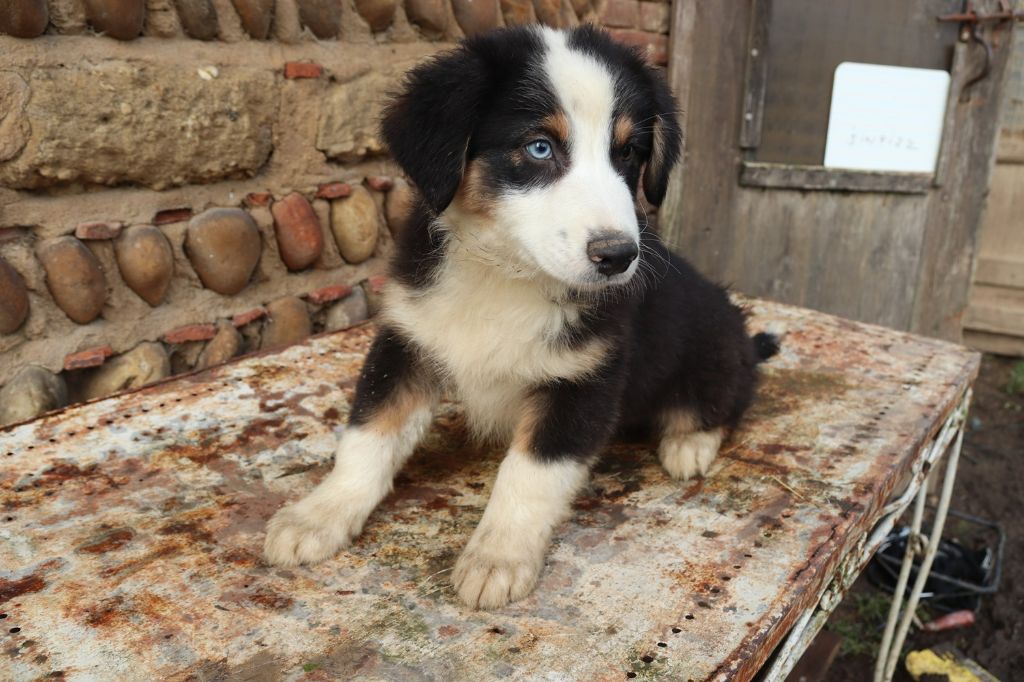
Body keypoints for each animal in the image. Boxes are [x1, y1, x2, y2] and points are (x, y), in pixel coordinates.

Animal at [264, 25, 774, 606]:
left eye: (628, 153)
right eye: (539, 147)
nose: (618, 256)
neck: (507, 274)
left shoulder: (585, 378)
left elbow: (529, 475)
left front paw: (497, 557)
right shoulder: (407, 340)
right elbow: (368, 437)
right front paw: (317, 515)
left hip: (714, 347)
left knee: (727, 398)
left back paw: (689, 444)